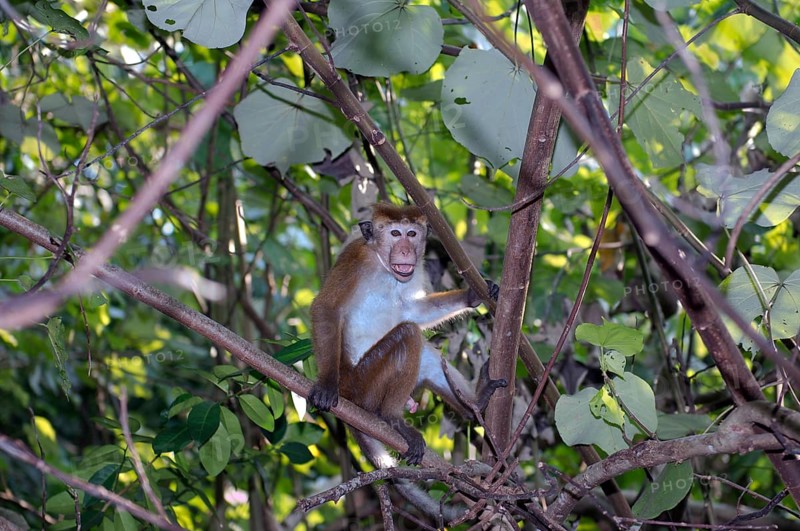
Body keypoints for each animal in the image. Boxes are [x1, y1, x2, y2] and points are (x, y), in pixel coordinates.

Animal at [308, 203, 507, 470]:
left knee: (427, 356)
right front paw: (326, 384)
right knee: (408, 335)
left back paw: (475, 404)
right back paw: (391, 417)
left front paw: (471, 296)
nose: (405, 250)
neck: (383, 268)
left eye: (411, 234)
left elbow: (412, 311)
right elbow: (326, 308)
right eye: (395, 233)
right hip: (362, 385)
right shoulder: (355, 259)